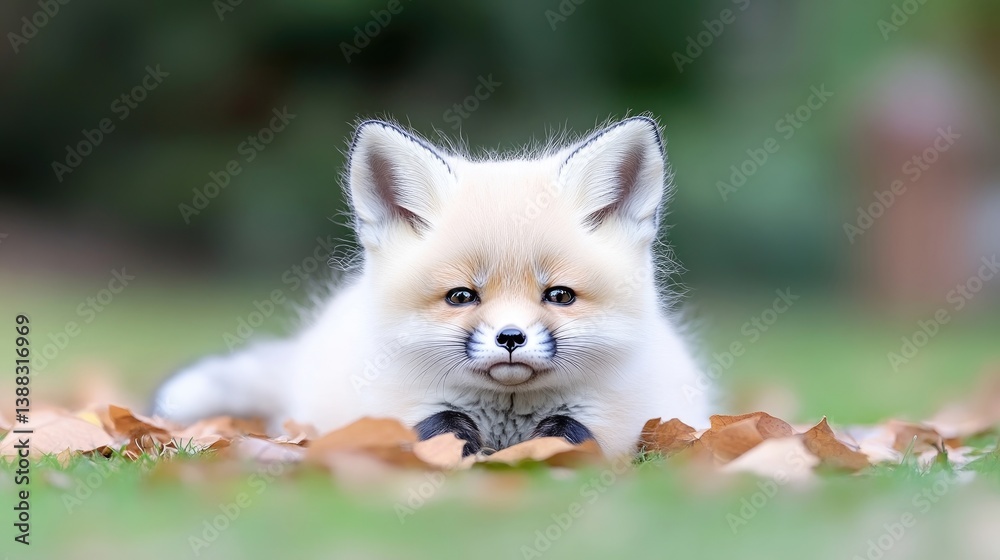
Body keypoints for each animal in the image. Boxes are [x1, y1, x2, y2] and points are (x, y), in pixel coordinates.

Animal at [152, 116, 711, 458]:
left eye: (559, 296)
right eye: (461, 297)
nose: (511, 338)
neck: (506, 418)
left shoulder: (619, 417)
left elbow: (572, 435)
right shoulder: (403, 405)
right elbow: (438, 429)